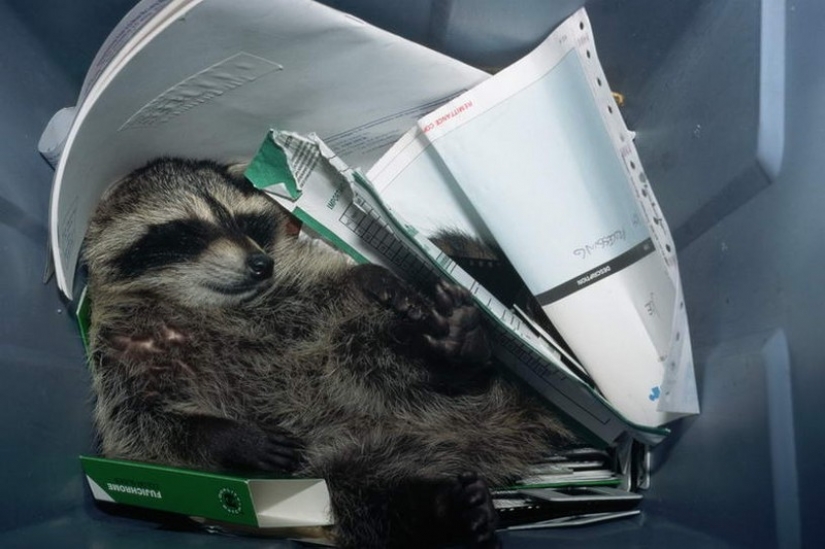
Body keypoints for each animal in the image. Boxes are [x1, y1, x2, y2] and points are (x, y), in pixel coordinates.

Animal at [83, 158, 574, 548]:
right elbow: (144, 437)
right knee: (366, 503)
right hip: (348, 468)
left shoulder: (294, 292)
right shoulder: (118, 356)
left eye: (244, 223)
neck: (203, 306)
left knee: (368, 344)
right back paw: (444, 510)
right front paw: (229, 437)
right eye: (188, 230)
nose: (260, 264)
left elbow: (336, 286)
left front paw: (373, 277)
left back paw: (455, 355)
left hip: (360, 360)